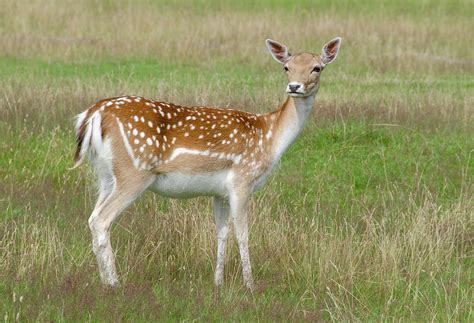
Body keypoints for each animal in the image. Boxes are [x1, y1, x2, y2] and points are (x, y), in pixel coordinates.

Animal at [73, 36, 340, 290]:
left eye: (316, 68)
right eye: (287, 67)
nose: (294, 87)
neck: (269, 137)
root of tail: (93, 114)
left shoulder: (219, 192)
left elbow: (221, 233)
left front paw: (218, 282)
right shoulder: (242, 179)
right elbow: (243, 234)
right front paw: (250, 285)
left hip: (105, 174)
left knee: (92, 217)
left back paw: (104, 281)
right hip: (134, 172)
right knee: (101, 220)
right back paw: (114, 283)